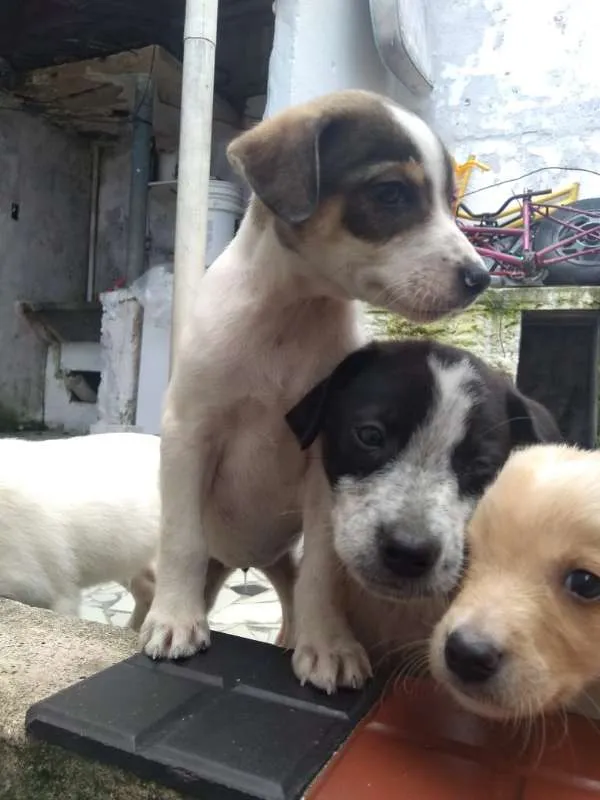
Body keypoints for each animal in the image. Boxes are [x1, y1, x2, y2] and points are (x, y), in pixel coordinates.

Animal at [142, 86, 492, 688]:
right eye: (392, 193)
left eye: (452, 202)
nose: (482, 278)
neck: (290, 318)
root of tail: (243, 556)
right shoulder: (190, 432)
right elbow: (181, 540)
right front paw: (174, 621)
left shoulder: (323, 466)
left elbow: (324, 571)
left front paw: (327, 644)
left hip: (280, 553)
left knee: (293, 580)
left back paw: (294, 634)